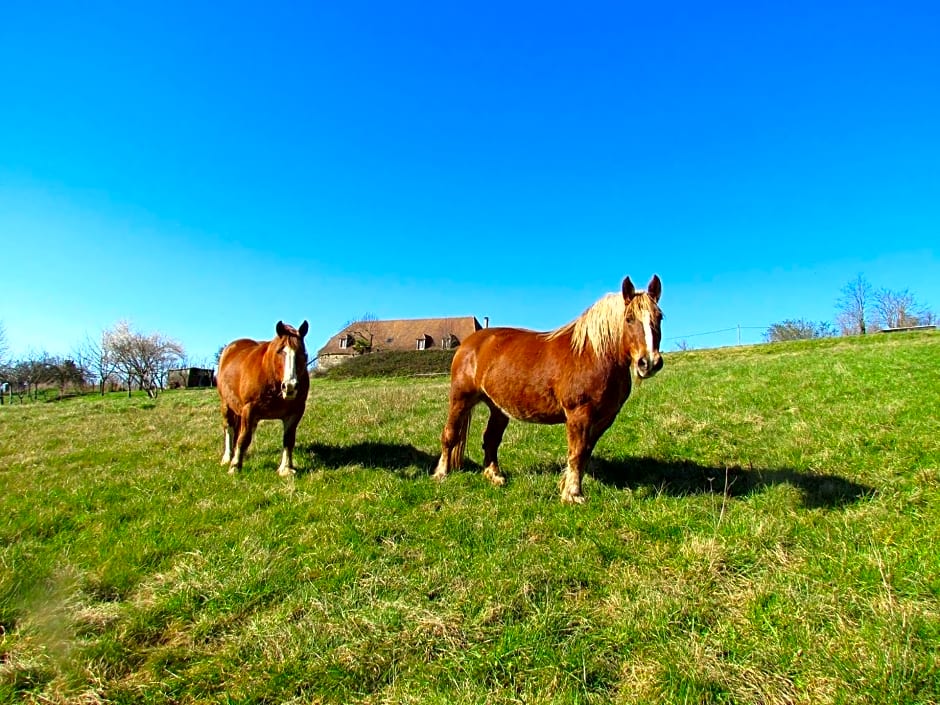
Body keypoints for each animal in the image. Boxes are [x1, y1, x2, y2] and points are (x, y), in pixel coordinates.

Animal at [216, 320, 308, 476]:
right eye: (280, 351)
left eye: (302, 353)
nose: (290, 386)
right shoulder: (249, 408)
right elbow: (244, 437)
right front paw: (235, 467)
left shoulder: (295, 412)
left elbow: (288, 439)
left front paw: (286, 469)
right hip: (226, 405)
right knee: (229, 428)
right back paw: (228, 457)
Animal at [434, 276, 660, 500]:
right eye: (629, 318)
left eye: (659, 317)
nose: (649, 362)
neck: (593, 355)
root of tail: (469, 343)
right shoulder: (578, 415)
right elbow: (577, 453)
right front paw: (573, 494)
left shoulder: (605, 418)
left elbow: (585, 453)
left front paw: (567, 486)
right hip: (461, 399)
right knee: (450, 434)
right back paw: (441, 473)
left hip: (498, 408)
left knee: (491, 439)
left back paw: (494, 475)